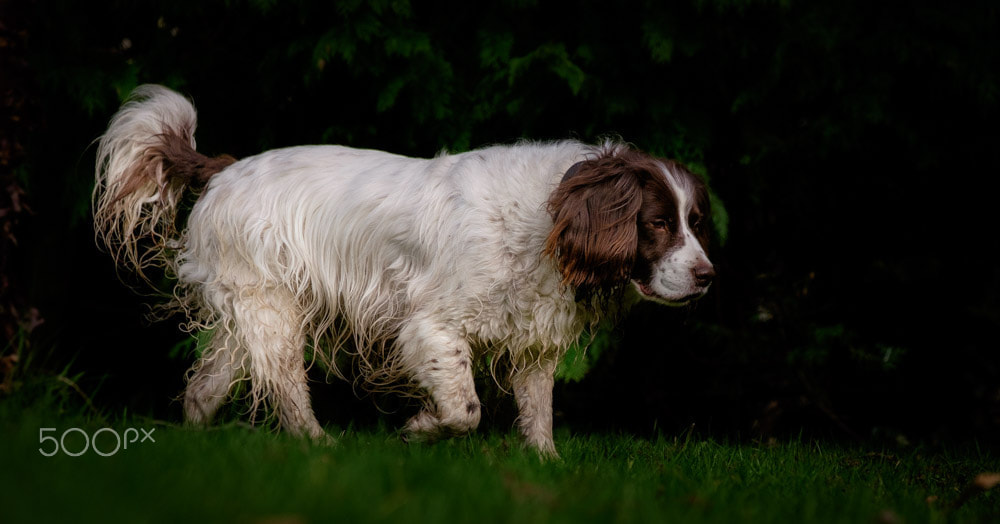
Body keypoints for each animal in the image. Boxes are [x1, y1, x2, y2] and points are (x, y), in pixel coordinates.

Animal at [94, 85, 712, 454]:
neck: (547, 220)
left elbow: (538, 415)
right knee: (287, 387)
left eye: (695, 221)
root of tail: (223, 167)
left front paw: (548, 466)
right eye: (658, 224)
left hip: (248, 314)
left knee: (204, 389)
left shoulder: (532, 341)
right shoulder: (430, 327)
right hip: (273, 307)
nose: (708, 275)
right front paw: (417, 431)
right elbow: (465, 409)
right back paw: (319, 445)